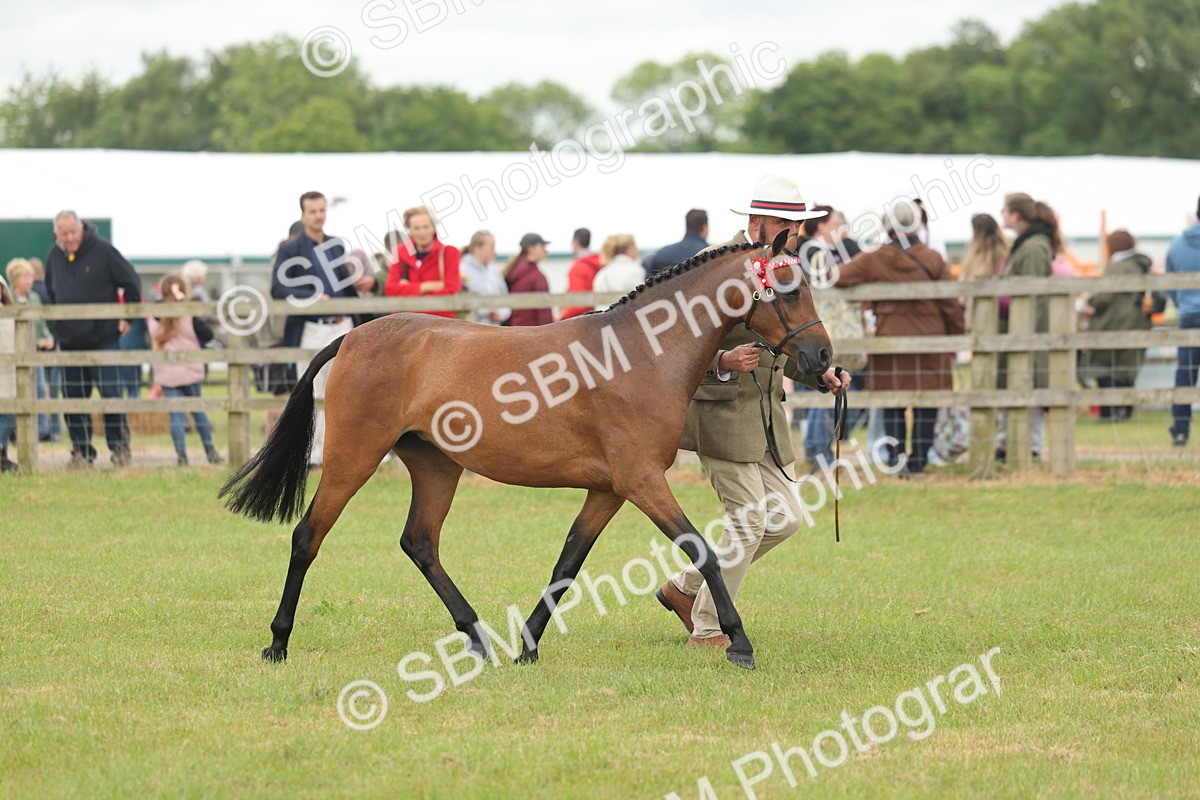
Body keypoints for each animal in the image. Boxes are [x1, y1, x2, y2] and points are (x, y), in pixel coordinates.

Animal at [219, 232, 833, 670]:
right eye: (788, 287)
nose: (823, 358)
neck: (638, 353)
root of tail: (353, 336)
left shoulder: (609, 490)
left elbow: (568, 562)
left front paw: (528, 646)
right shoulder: (641, 482)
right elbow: (700, 549)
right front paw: (740, 643)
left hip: (437, 467)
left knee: (420, 543)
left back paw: (478, 640)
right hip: (354, 457)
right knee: (309, 535)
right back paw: (278, 644)